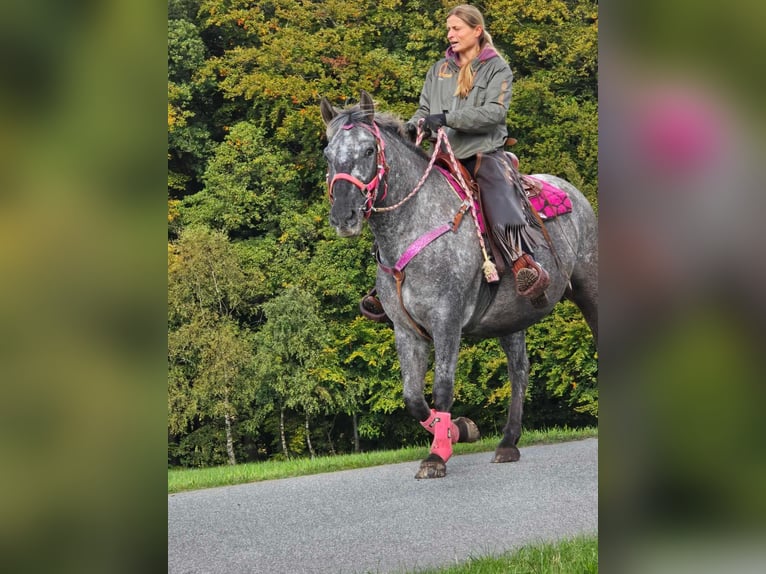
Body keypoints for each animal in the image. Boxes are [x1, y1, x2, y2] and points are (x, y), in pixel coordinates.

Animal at [320, 92, 600, 480]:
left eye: (368, 150)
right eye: (327, 154)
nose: (343, 216)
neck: (415, 226)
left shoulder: (446, 320)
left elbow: (442, 388)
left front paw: (437, 455)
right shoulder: (406, 331)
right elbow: (413, 397)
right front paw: (458, 430)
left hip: (589, 287)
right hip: (511, 318)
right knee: (519, 371)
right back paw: (508, 442)